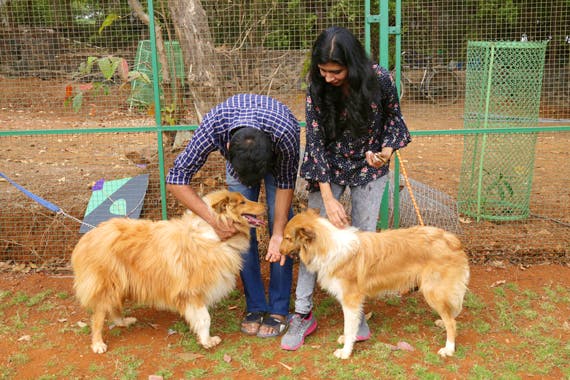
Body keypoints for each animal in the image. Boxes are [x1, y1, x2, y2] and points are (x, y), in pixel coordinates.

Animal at [71, 189, 264, 354]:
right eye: (242, 202)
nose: (264, 205)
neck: (212, 235)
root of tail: (86, 238)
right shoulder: (192, 292)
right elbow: (204, 318)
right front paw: (207, 341)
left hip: (122, 283)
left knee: (113, 309)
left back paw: (124, 322)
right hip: (107, 285)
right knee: (99, 316)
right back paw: (98, 344)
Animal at [278, 209, 468, 360]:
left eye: (288, 238)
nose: (278, 251)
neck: (327, 246)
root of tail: (452, 239)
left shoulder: (351, 300)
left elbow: (349, 327)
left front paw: (345, 352)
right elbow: (352, 327)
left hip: (432, 291)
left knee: (452, 323)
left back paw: (448, 348)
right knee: (451, 314)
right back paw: (442, 323)